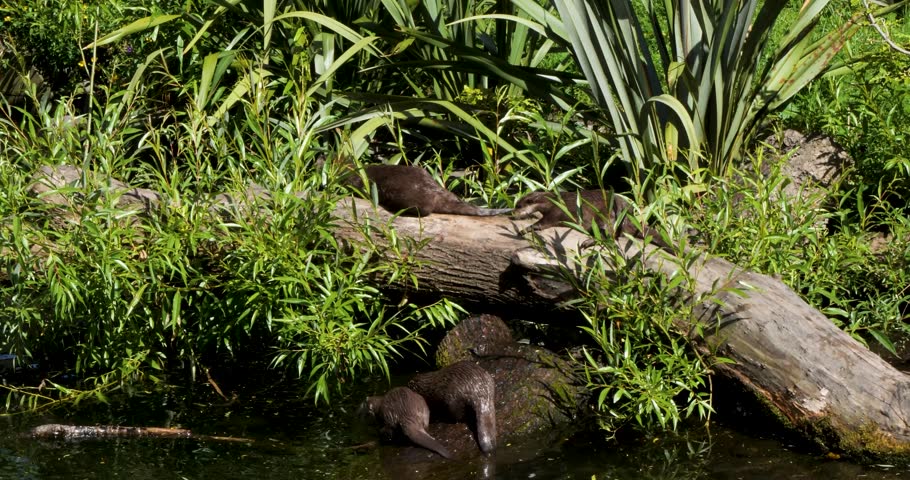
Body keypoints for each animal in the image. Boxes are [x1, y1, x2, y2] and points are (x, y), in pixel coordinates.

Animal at [513, 189, 668, 247]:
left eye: (518, 206)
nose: (513, 213)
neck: (551, 201)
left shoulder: (555, 212)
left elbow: (542, 223)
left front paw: (525, 229)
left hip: (603, 216)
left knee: (610, 236)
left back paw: (587, 242)